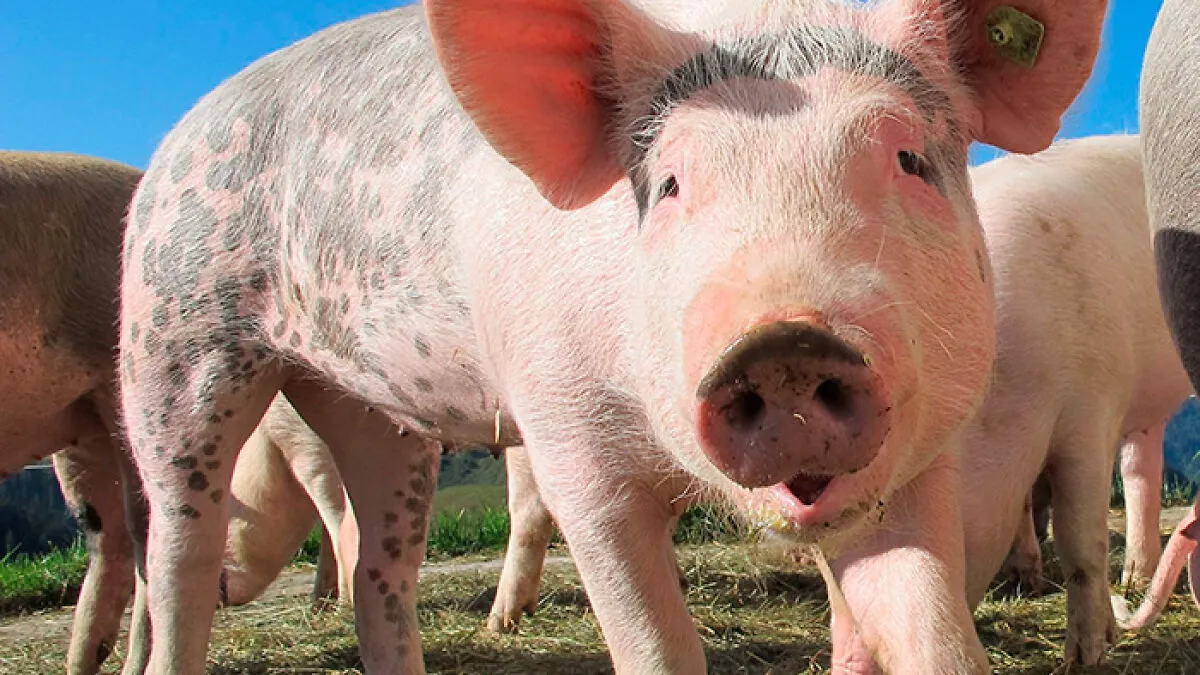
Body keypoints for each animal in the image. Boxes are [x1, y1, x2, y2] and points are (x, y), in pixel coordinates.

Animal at [115, 1, 1107, 672]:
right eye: (667, 184)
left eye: (907, 159)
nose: (785, 343)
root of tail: (180, 135)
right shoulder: (568, 446)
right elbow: (655, 643)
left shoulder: (923, 456)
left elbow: (937, 635)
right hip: (175, 330)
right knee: (179, 552)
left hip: (373, 409)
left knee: (380, 570)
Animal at [833, 134, 1194, 669]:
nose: (848, 662)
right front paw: (1028, 581)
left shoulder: (1092, 406)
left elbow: (1079, 536)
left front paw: (1084, 659)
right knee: (1141, 468)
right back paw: (1134, 580)